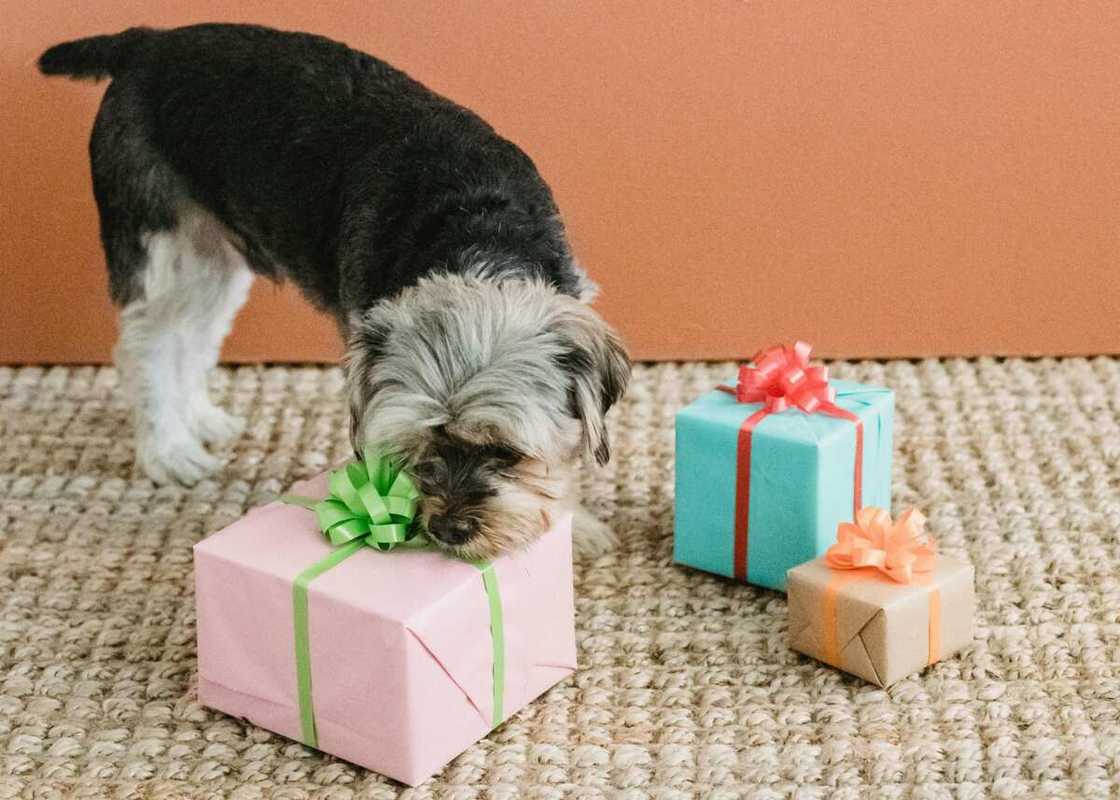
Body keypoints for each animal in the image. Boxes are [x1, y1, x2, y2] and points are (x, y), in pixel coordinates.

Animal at [37, 26, 631, 560]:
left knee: (192, 337)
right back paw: (169, 450)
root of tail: (145, 42)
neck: (476, 237)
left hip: (211, 261)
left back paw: (200, 419)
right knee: (146, 344)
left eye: (507, 452)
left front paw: (574, 524)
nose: (448, 530)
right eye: (410, 447)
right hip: (162, 241)